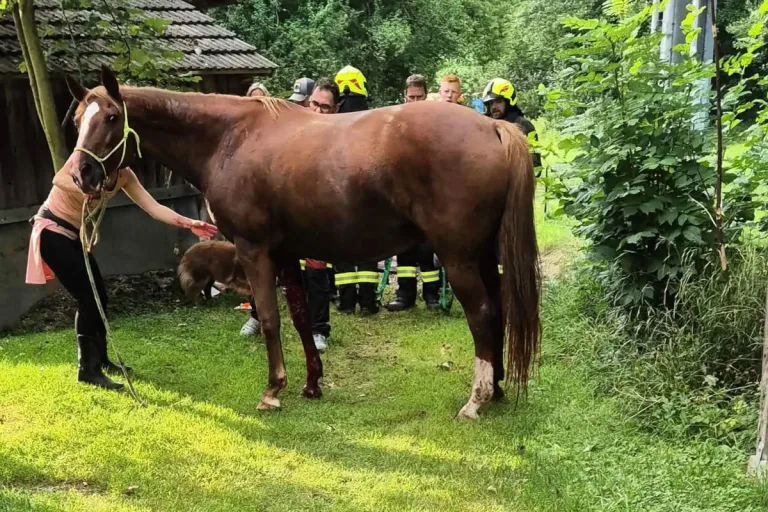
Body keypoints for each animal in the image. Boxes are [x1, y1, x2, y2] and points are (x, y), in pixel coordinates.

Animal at [62, 66, 541, 420]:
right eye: (77, 121)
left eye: (110, 118)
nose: (80, 175)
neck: (229, 139)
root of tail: (494, 128)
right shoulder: (288, 253)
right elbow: (299, 316)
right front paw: (311, 384)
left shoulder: (255, 251)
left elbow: (271, 318)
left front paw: (273, 389)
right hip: (483, 256)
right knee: (498, 310)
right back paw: (496, 389)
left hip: (459, 258)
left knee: (482, 314)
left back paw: (476, 400)